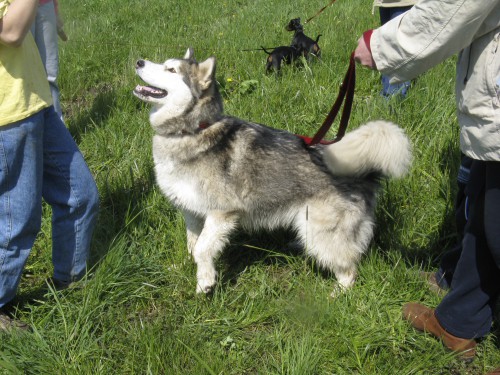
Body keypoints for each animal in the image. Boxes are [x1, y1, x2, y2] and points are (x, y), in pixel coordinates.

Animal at [133, 47, 410, 296]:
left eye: (171, 70)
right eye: (164, 64)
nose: (138, 61)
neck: (191, 131)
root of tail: (365, 175)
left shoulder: (222, 213)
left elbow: (203, 248)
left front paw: (205, 283)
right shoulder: (192, 211)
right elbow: (193, 243)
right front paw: (191, 268)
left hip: (322, 234)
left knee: (349, 269)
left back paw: (337, 296)